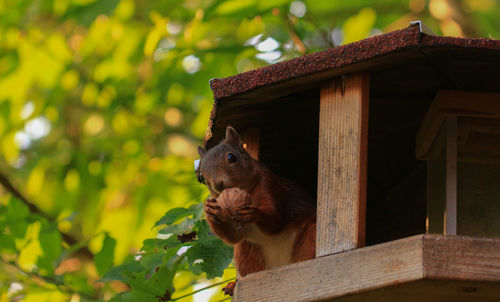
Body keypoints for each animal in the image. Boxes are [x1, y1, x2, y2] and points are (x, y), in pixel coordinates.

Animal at [196, 125, 316, 294]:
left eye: (231, 157)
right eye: (201, 176)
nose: (218, 185)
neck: (247, 190)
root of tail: (281, 265)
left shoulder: (268, 184)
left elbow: (276, 220)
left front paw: (255, 213)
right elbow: (232, 237)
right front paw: (209, 209)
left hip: (310, 237)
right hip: (246, 252)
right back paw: (234, 286)